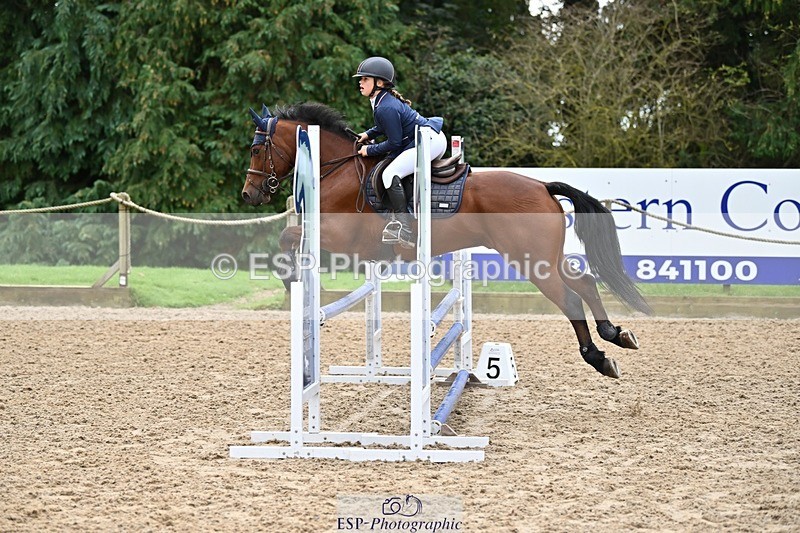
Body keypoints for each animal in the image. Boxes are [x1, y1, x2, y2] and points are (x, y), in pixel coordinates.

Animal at [241, 102, 651, 378]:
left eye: (257, 149)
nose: (249, 194)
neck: (336, 168)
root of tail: (542, 186)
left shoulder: (340, 237)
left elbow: (288, 235)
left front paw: (289, 279)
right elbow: (289, 236)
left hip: (531, 261)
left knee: (569, 298)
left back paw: (597, 357)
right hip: (547, 257)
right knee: (585, 282)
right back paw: (616, 336)